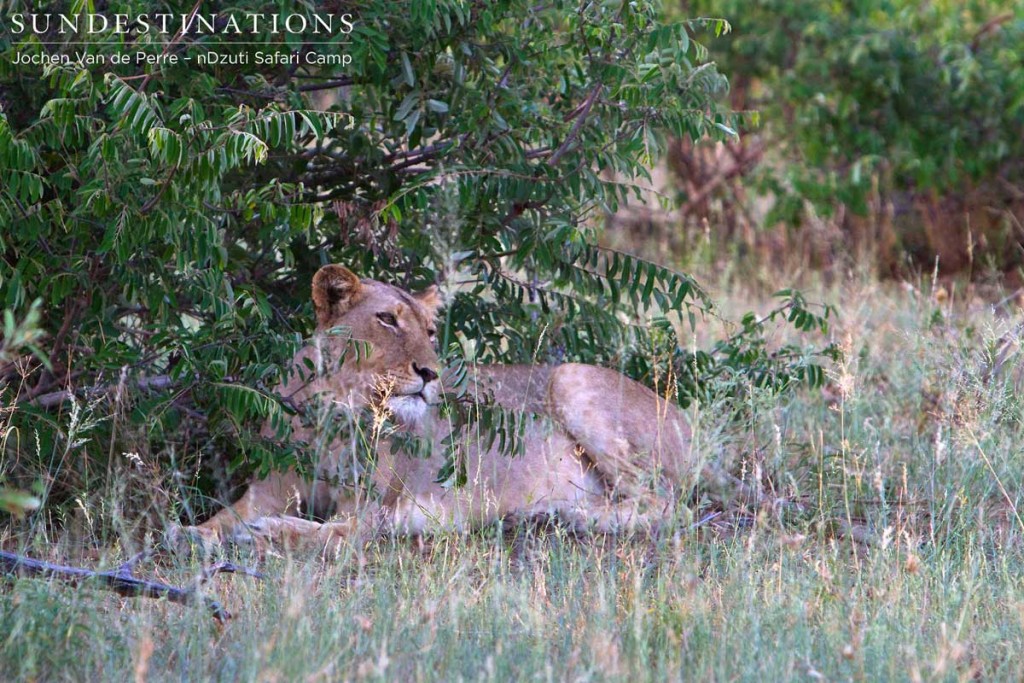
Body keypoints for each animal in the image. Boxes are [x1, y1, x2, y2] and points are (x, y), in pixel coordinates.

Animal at [178, 264, 704, 548]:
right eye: (387, 320)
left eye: (430, 331)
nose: (432, 373)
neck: (337, 411)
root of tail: (687, 420)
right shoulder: (269, 488)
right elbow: (224, 515)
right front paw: (191, 534)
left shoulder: (368, 514)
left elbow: (321, 533)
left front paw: (264, 534)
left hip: (571, 377)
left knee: (667, 505)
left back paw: (568, 516)